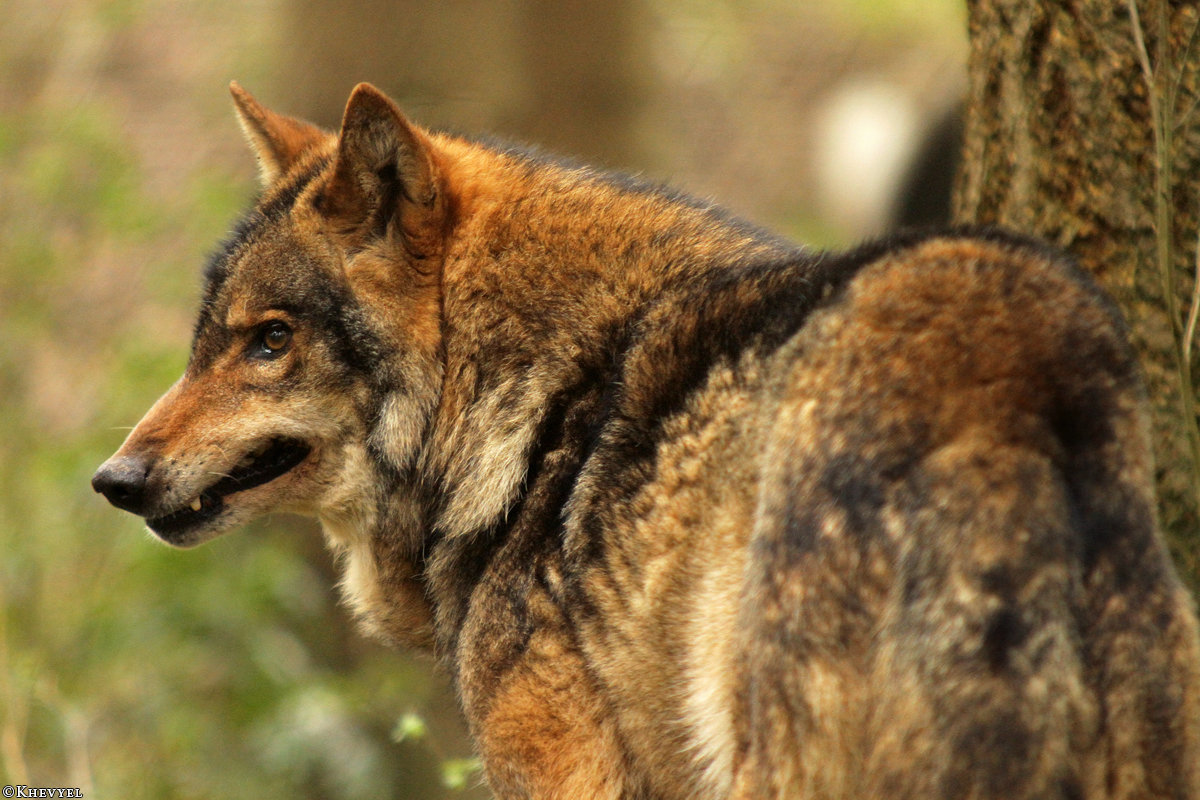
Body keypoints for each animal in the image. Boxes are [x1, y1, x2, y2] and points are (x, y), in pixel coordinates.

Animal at [96, 84, 1200, 796]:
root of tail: (1002, 373)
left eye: (270, 341)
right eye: (204, 343)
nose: (114, 479)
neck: (528, 401)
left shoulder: (558, 768)